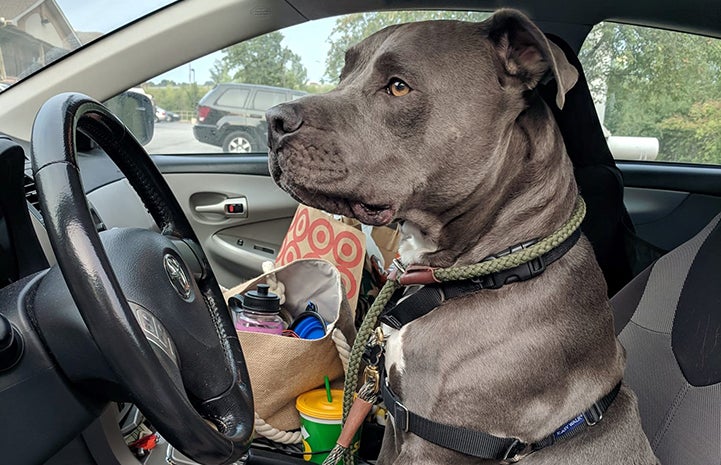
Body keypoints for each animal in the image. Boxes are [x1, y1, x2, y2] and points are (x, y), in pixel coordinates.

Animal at [266, 8, 660, 464]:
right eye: (346, 73)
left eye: (398, 86)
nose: (272, 120)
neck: (500, 266)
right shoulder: (394, 422)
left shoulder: (434, 444)